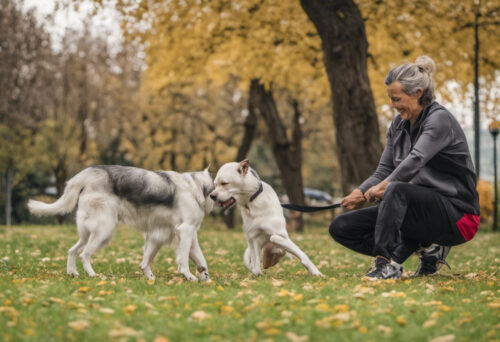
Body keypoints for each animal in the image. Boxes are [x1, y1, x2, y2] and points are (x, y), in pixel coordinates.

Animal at [27, 165, 214, 280]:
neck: (195, 187)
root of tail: (89, 173)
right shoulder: (185, 230)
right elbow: (183, 259)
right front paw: (189, 276)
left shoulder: (165, 235)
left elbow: (198, 258)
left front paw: (204, 277)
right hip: (104, 230)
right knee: (84, 254)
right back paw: (93, 275)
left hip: (88, 234)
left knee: (72, 251)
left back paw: (73, 273)